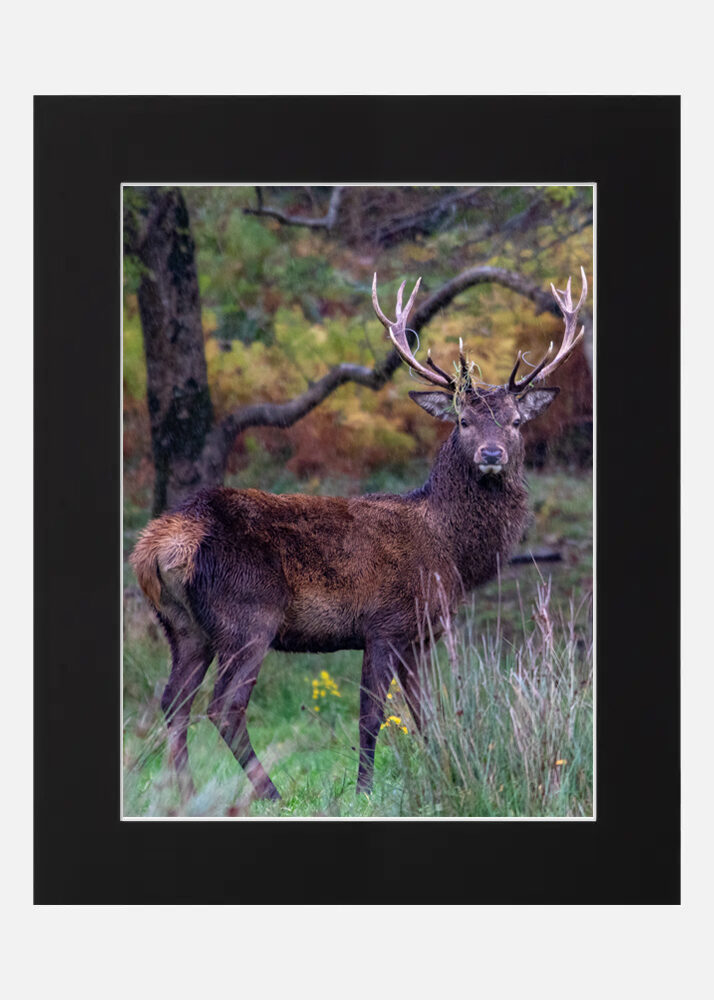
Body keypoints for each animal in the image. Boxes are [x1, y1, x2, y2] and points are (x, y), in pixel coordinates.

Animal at [130, 269, 588, 802]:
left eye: (515, 422)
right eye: (463, 420)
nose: (492, 454)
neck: (452, 555)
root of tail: (161, 543)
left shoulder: (419, 636)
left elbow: (426, 714)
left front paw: (442, 770)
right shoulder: (384, 622)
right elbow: (372, 716)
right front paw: (365, 790)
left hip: (182, 627)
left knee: (173, 701)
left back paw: (181, 793)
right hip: (248, 614)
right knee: (222, 706)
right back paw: (269, 794)